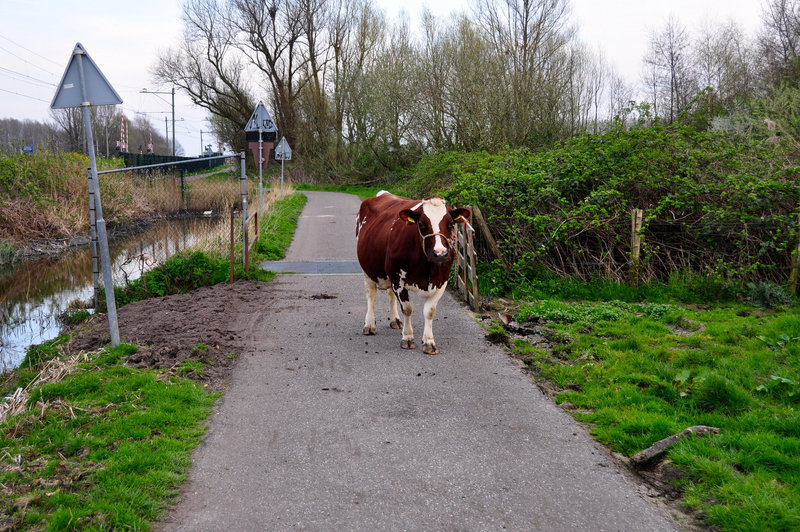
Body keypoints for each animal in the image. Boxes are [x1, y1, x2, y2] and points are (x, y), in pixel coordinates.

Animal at [356, 189, 468, 356]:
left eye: (451, 224)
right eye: (421, 224)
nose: (440, 253)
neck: (427, 266)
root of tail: (383, 194)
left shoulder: (441, 282)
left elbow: (429, 311)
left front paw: (429, 342)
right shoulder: (399, 281)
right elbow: (408, 309)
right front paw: (407, 338)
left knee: (390, 295)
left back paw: (394, 320)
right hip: (367, 270)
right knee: (371, 295)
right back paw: (369, 325)